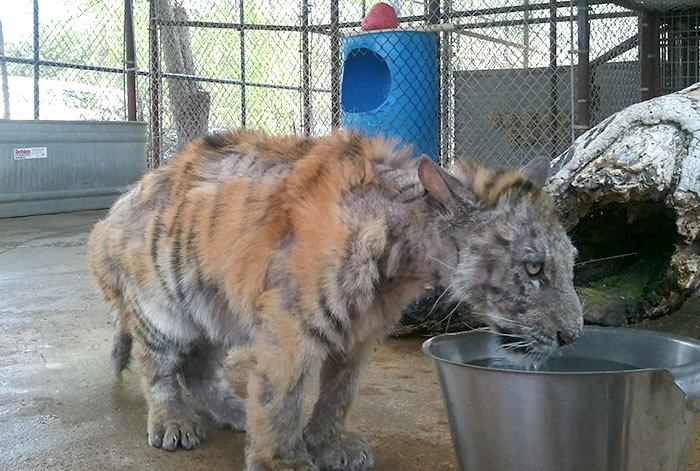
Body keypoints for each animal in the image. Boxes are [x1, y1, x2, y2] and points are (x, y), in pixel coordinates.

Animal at [87, 128, 582, 471]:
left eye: (570, 262)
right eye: (534, 268)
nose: (572, 336)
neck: (400, 256)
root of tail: (111, 214)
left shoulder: (359, 332)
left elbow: (338, 394)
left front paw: (328, 445)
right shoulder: (290, 324)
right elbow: (282, 396)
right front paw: (282, 461)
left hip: (216, 308)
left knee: (199, 368)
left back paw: (236, 410)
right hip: (162, 307)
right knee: (158, 367)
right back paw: (174, 423)